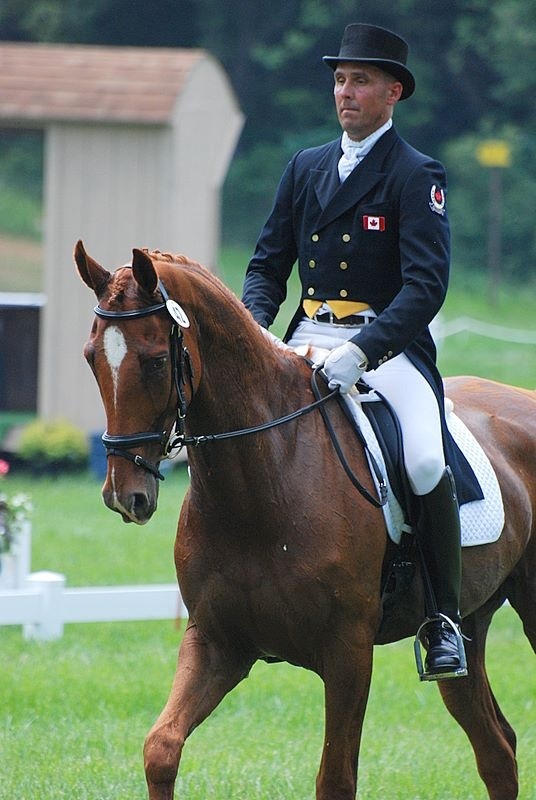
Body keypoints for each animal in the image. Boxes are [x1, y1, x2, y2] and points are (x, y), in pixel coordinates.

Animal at [74, 240, 536, 800]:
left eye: (157, 361)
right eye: (91, 358)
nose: (126, 496)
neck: (262, 486)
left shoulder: (348, 652)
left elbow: (335, 777)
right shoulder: (217, 641)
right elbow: (161, 748)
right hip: (470, 621)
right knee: (498, 750)